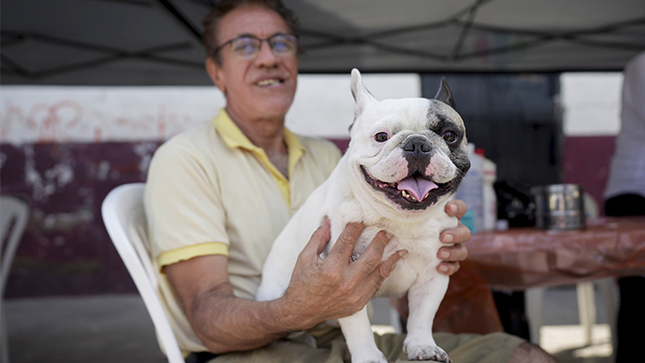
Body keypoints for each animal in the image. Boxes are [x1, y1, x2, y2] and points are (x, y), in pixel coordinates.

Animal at [254, 69, 470, 363]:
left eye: (449, 135)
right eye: (381, 136)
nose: (417, 144)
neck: (399, 219)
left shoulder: (433, 273)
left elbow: (422, 315)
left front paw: (423, 346)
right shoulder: (345, 282)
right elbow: (358, 328)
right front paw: (368, 356)